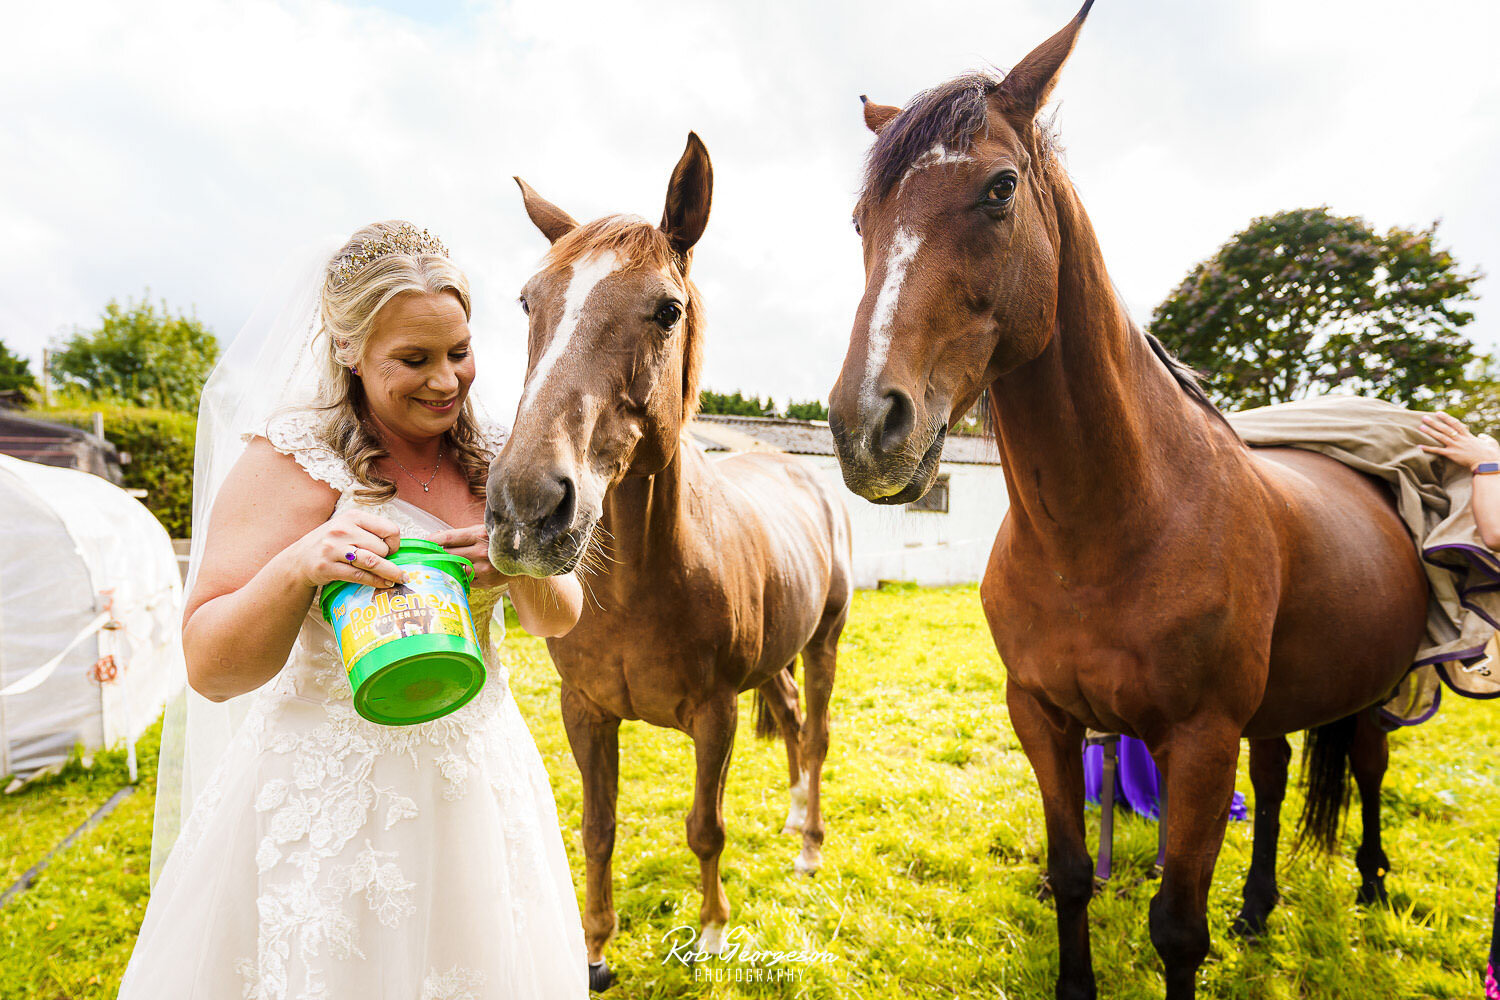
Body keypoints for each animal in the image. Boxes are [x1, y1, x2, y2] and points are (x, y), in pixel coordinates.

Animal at [486, 134, 852, 995]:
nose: (525, 505)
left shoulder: (714, 715)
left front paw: (714, 931)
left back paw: (808, 844)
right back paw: (793, 813)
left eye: (667, 310)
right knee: (792, 716)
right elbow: (596, 828)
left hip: (824, 642)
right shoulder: (584, 710)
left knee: (817, 731)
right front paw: (593, 948)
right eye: (529, 302)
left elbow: (705, 826)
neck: (640, 588)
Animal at [834, 3, 1428, 995]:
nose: (865, 426)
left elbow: (1178, 930)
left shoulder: (1198, 744)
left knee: (1371, 770)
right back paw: (1259, 907)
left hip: (1379, 689)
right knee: (1275, 778)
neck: (1106, 530)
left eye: (1000, 188)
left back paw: (1376, 886)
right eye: (861, 219)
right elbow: (1073, 874)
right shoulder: (1043, 717)